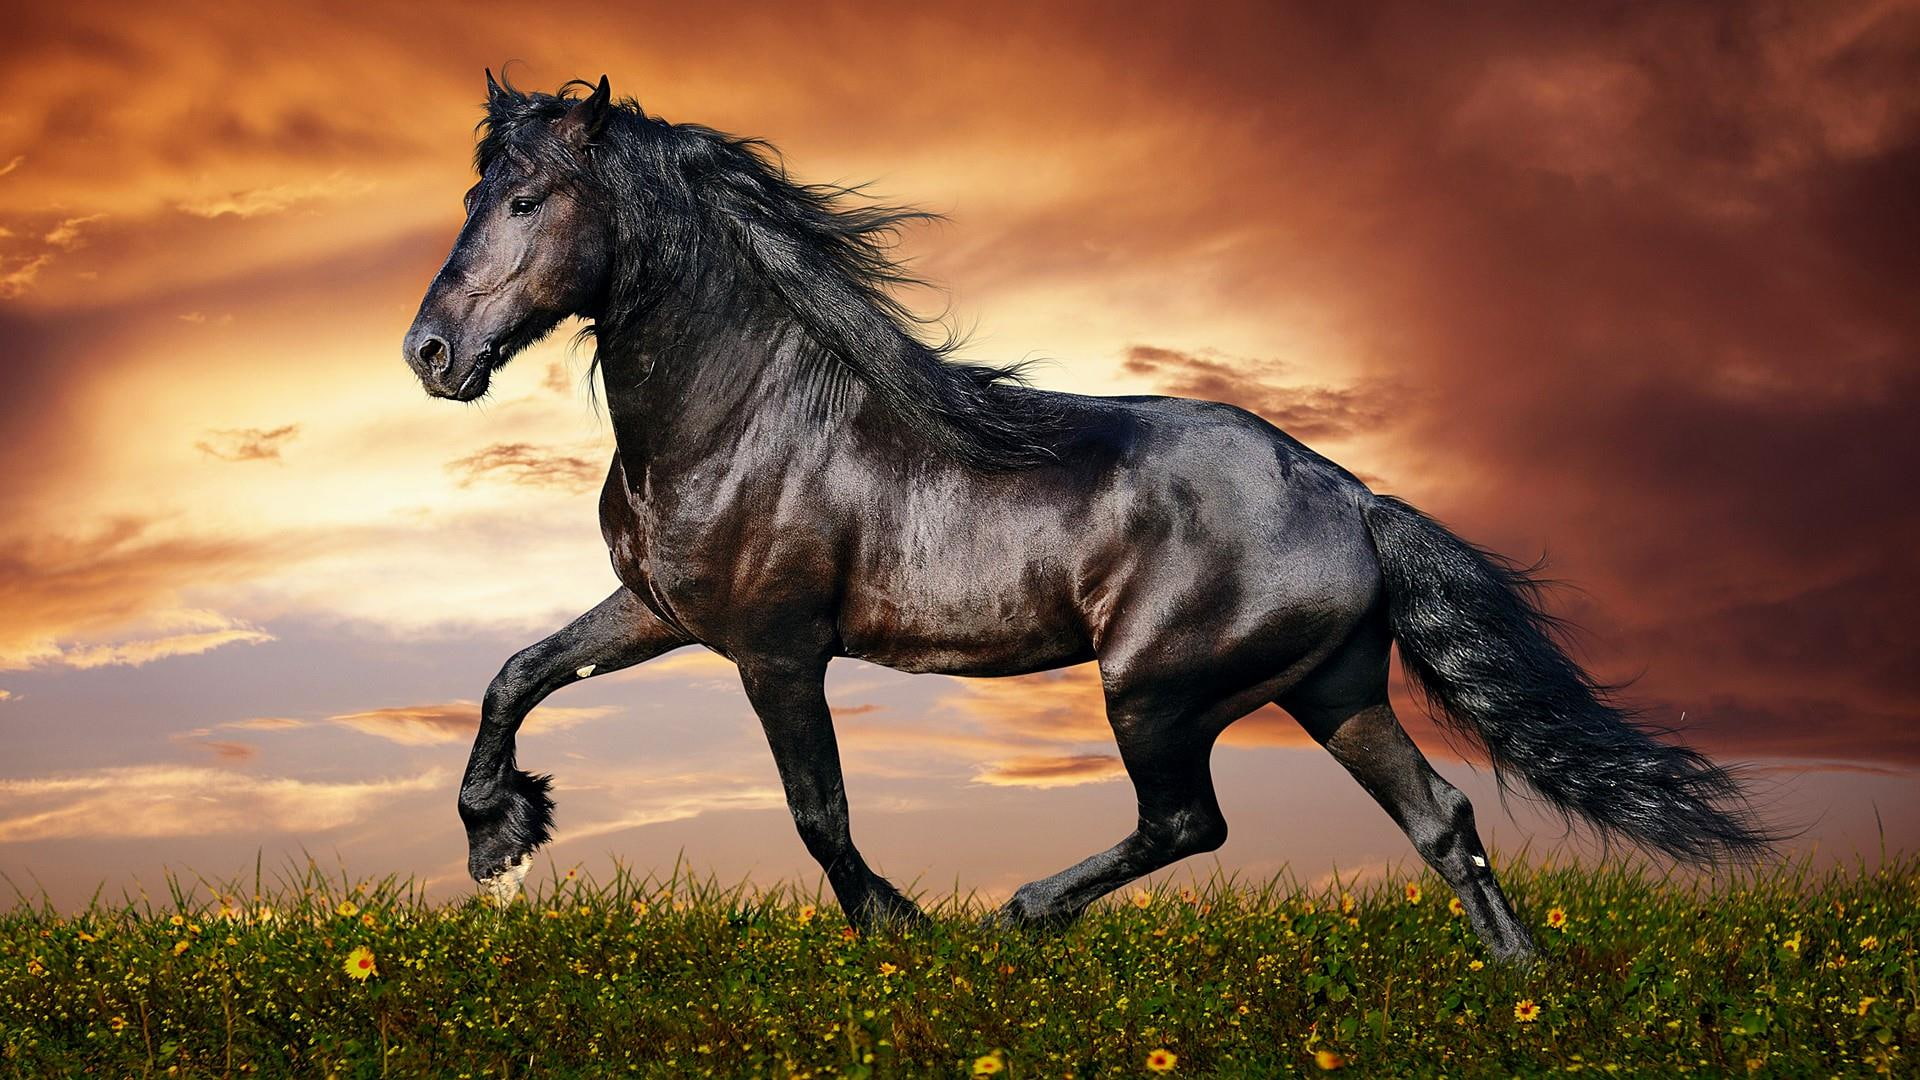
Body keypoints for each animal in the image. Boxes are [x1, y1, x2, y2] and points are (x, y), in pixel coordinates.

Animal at [402, 73, 1772, 962]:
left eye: (528, 200)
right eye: (472, 194)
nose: (429, 354)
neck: (744, 412)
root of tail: (1351, 497)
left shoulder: (776, 649)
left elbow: (817, 812)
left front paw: (902, 933)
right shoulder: (661, 610)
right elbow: (516, 673)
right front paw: (498, 838)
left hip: (1155, 689)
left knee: (1190, 821)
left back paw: (1023, 914)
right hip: (1332, 689)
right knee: (1442, 822)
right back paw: (1520, 988)